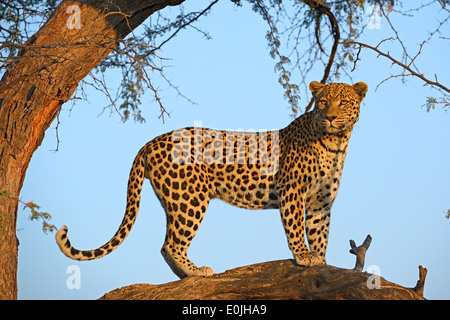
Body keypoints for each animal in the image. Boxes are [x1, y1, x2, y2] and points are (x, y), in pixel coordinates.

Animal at [56, 81, 368, 278]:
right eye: (323, 102)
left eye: (344, 102)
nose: (330, 117)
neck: (335, 143)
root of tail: (151, 142)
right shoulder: (292, 191)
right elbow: (295, 229)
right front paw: (304, 256)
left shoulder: (321, 202)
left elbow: (320, 233)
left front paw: (321, 260)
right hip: (189, 199)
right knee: (172, 244)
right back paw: (198, 272)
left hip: (175, 198)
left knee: (166, 245)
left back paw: (185, 277)